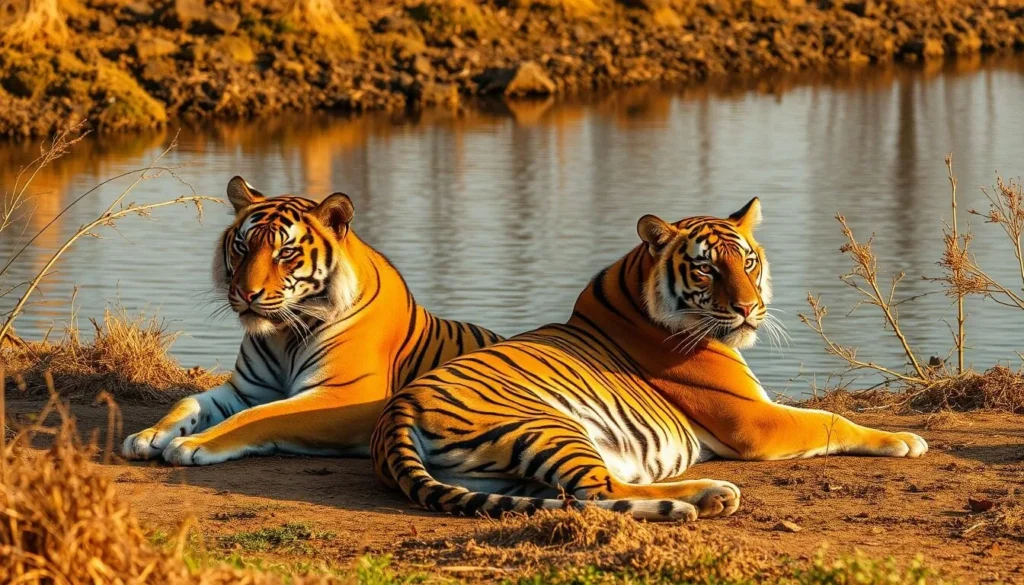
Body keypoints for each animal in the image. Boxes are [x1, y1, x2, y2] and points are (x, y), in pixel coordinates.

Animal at [122, 177, 502, 466]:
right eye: (242, 247)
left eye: (285, 253)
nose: (246, 293)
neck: (283, 335)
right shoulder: (247, 389)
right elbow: (187, 402)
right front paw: (148, 435)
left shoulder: (345, 394)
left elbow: (256, 415)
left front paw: (192, 443)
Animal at [371, 198, 928, 521]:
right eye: (706, 270)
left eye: (748, 262)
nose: (749, 307)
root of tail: (395, 413)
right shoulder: (755, 421)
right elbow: (831, 419)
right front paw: (906, 440)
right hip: (550, 425)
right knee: (597, 491)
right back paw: (706, 497)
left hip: (497, 474)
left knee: (572, 495)